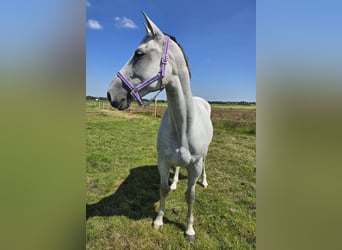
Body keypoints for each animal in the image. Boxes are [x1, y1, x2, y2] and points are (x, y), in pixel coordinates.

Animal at [107, 12, 214, 242]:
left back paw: (205, 181)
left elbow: (190, 196)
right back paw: (175, 183)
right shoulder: (163, 161)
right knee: (177, 170)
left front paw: (189, 230)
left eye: (138, 54)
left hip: (204, 157)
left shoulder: (194, 165)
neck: (183, 125)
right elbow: (163, 189)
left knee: (204, 166)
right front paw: (158, 221)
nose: (111, 94)